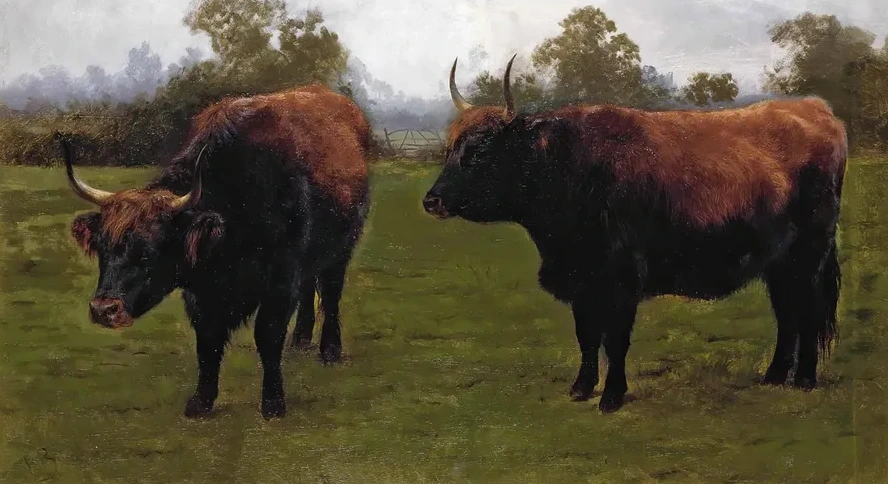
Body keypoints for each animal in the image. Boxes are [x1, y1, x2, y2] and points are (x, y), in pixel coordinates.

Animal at [60, 84, 371, 419]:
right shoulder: (202, 292)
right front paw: (201, 401)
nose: (103, 310)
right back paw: (300, 340)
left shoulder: (281, 278)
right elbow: (207, 341)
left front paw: (273, 403)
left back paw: (330, 350)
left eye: (148, 251)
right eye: (103, 249)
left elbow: (268, 334)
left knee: (330, 293)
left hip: (341, 249)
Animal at [423, 55, 847, 413]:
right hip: (780, 263)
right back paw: (774, 376)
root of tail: (814, 109)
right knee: (787, 313)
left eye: (480, 151)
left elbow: (615, 340)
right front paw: (581, 388)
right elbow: (587, 336)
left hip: (809, 255)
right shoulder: (583, 280)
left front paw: (611, 396)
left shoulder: (621, 279)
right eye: (450, 149)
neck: (571, 168)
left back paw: (804, 380)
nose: (431, 200)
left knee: (807, 312)